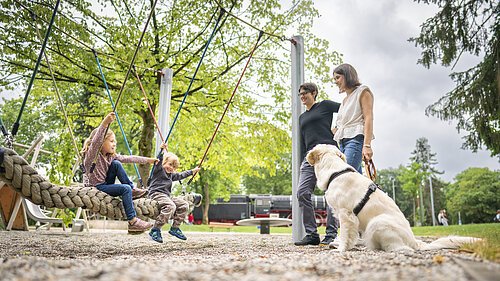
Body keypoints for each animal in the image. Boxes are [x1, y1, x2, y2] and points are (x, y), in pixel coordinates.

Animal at [306, 144, 478, 252]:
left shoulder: (346, 215)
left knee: (400, 248)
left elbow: (345, 236)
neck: (335, 172)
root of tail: (414, 241)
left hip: (377, 222)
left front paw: (341, 249)